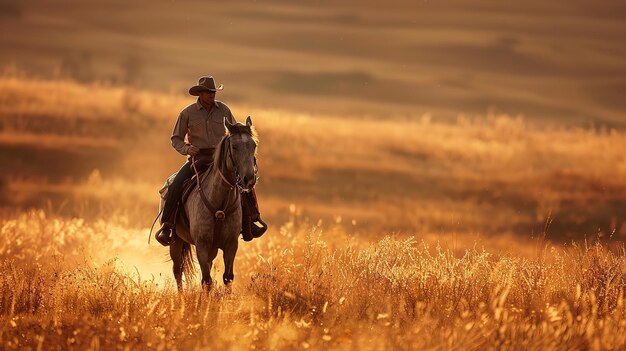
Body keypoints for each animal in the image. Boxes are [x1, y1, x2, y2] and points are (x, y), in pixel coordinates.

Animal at [165, 116, 258, 292]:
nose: (249, 179)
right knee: (177, 271)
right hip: (176, 241)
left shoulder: (231, 244)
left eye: (253, 145)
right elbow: (206, 281)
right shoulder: (202, 244)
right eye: (234, 146)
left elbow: (227, 277)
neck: (219, 201)